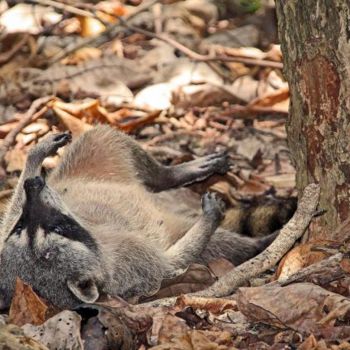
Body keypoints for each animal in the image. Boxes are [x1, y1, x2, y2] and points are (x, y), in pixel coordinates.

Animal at [0, 126, 276, 308]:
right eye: (56, 228)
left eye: (20, 226)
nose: (34, 185)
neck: (97, 237)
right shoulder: (133, 261)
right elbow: (171, 262)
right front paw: (209, 221)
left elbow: (12, 206)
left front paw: (34, 157)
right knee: (220, 245)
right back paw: (257, 243)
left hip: (96, 163)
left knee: (104, 137)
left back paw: (171, 173)